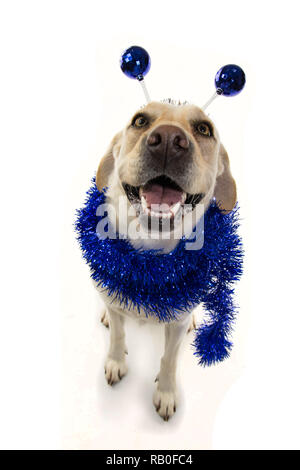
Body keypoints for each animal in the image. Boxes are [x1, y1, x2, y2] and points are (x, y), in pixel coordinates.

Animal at [95, 101, 236, 420]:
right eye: (139, 121)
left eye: (204, 129)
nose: (170, 141)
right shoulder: (116, 306)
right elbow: (118, 336)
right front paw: (115, 361)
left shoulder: (177, 326)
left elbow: (169, 359)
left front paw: (167, 392)